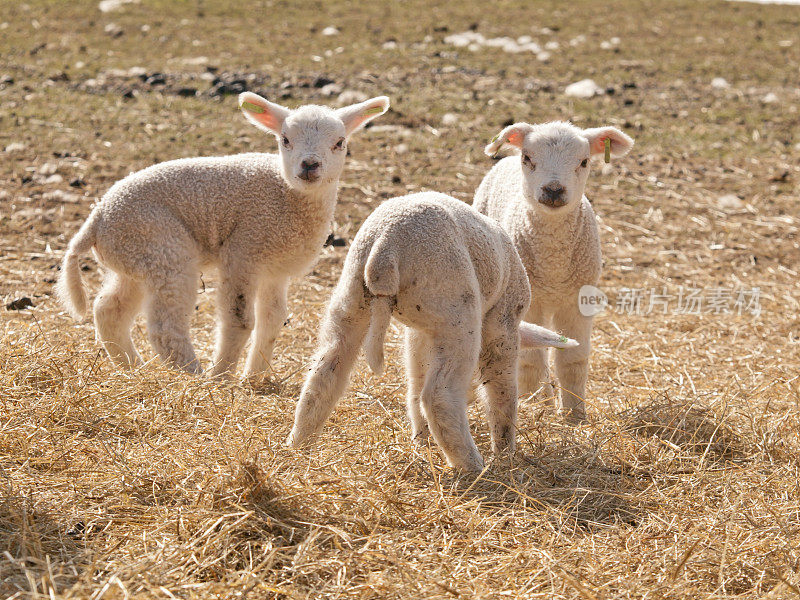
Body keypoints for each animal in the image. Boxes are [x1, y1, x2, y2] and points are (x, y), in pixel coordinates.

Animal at [55, 92, 390, 378]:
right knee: (166, 324)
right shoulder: (244, 249)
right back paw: (194, 374)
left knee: (108, 310)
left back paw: (132, 368)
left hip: (134, 258)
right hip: (163, 248)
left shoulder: (275, 267)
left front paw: (255, 377)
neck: (286, 197)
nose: (309, 165)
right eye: (285, 140)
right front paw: (224, 376)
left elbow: (272, 320)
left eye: (340, 142)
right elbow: (239, 319)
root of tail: (96, 219)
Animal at [284, 192, 580, 474]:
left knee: (326, 372)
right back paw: (472, 464)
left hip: (355, 295)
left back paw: (299, 444)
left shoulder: (421, 333)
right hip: (456, 308)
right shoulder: (504, 318)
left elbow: (415, 382)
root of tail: (385, 249)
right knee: (439, 396)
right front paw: (505, 450)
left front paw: (422, 440)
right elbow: (501, 387)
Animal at [476, 120, 632, 422]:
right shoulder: (530, 301)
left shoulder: (578, 301)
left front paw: (574, 415)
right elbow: (532, 358)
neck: (553, 265)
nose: (553, 190)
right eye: (528, 158)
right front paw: (537, 405)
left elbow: (574, 359)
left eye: (584, 161)